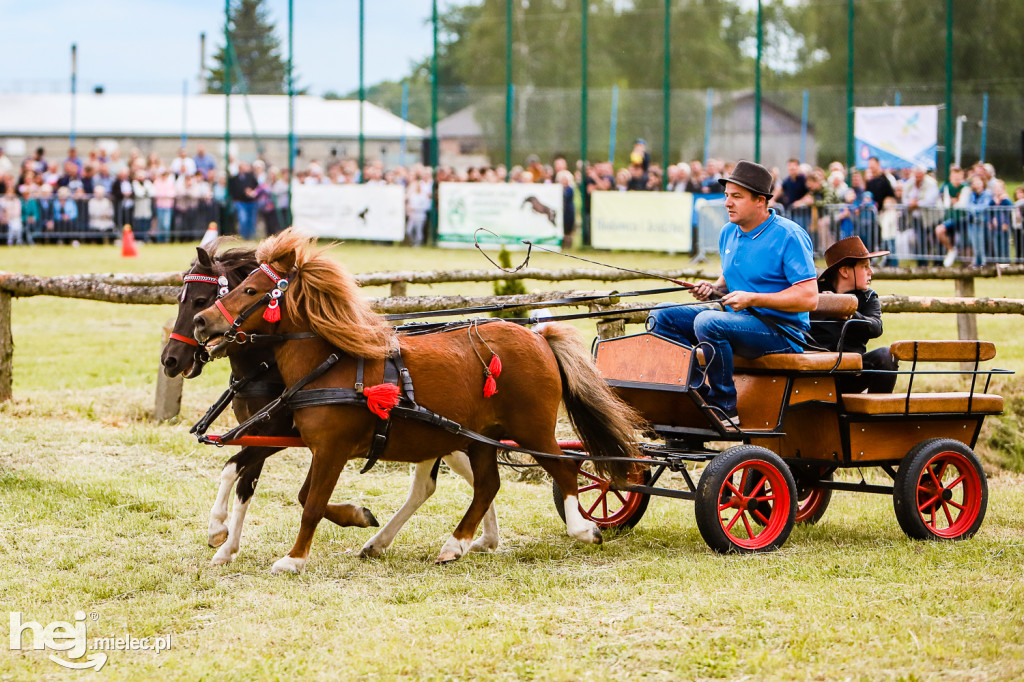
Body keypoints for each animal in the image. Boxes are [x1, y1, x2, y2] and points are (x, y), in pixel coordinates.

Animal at [192, 228, 638, 573]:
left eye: (250, 289)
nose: (201, 322)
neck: (331, 363)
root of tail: (538, 337)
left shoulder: (332, 448)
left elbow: (311, 503)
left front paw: (294, 559)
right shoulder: (305, 441)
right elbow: (283, 488)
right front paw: (356, 520)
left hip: (531, 428)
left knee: (563, 469)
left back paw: (582, 528)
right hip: (479, 435)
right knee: (486, 485)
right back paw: (455, 544)